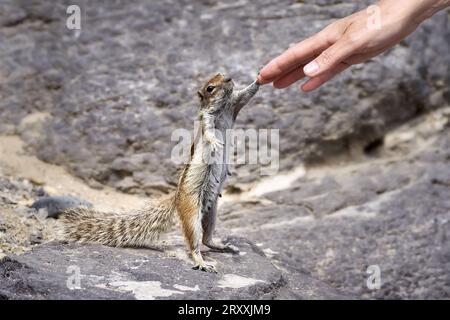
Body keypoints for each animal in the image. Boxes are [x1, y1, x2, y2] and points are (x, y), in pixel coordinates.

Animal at [59, 73, 258, 272]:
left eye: (222, 75)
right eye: (210, 88)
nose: (230, 78)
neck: (223, 107)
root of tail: (176, 198)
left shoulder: (235, 103)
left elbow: (248, 94)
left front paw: (259, 77)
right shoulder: (207, 118)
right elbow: (209, 132)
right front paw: (215, 142)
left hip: (211, 213)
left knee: (206, 238)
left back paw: (222, 246)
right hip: (191, 211)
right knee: (194, 242)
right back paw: (201, 262)